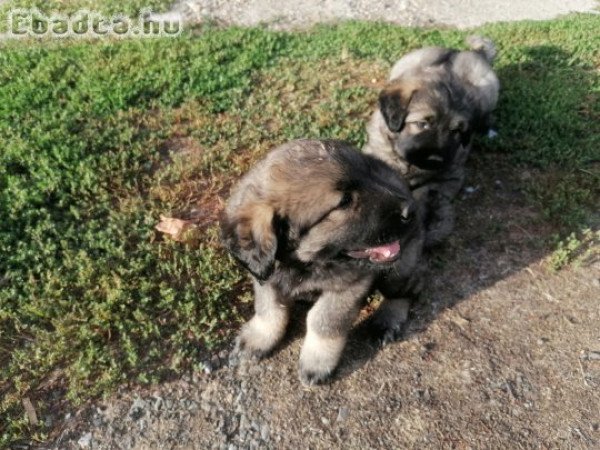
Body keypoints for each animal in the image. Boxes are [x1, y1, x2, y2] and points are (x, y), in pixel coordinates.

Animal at [223, 139, 424, 384]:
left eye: (368, 175)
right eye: (345, 201)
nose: (410, 210)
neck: (305, 264)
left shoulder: (348, 285)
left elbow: (323, 321)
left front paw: (317, 361)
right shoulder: (265, 277)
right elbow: (269, 310)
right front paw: (259, 337)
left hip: (401, 267)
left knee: (406, 291)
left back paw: (386, 320)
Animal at [364, 37, 500, 248]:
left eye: (456, 131)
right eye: (423, 124)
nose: (436, 159)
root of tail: (467, 51)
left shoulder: (449, 176)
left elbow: (425, 192)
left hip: (489, 91)